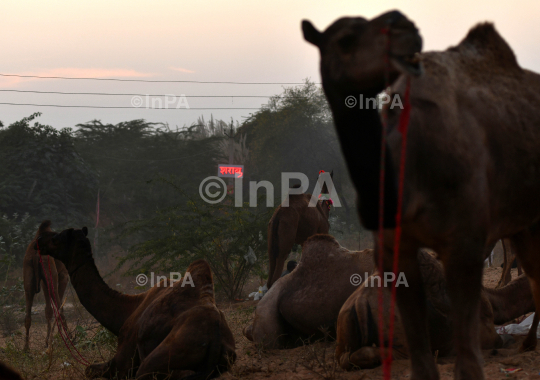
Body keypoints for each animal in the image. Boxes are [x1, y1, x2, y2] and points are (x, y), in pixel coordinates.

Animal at [22, 221, 68, 352]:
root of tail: (35, 254)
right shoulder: (63, 275)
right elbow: (57, 307)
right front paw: (52, 340)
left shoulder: (43, 281)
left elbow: (48, 310)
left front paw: (47, 341)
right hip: (51, 273)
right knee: (59, 307)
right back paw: (70, 338)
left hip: (29, 276)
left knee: (28, 315)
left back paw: (26, 348)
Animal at [35, 227, 234, 378]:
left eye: (56, 238)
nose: (38, 240)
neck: (127, 310)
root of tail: (215, 337)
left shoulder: (122, 361)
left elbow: (89, 369)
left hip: (159, 359)